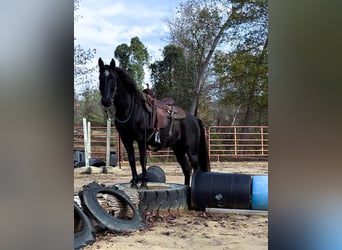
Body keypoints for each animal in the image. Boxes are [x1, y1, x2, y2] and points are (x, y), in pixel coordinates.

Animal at [99, 58, 210, 188]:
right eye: (100, 77)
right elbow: (132, 160)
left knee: (196, 169)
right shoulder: (126, 139)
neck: (131, 110)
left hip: (191, 150)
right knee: (187, 169)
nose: (105, 101)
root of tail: (195, 119)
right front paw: (134, 182)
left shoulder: (141, 139)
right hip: (178, 149)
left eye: (112, 78)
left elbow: (143, 160)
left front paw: (144, 183)